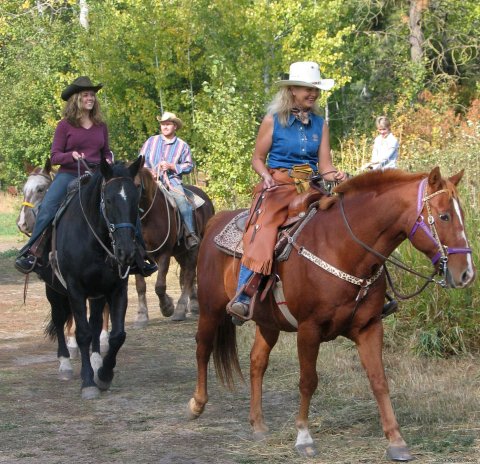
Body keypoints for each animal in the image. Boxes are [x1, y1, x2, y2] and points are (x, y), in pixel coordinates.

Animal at [35, 158, 142, 400]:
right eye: (109, 200)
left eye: (136, 200)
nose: (126, 252)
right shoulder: (75, 290)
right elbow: (82, 333)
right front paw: (88, 382)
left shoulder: (117, 289)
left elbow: (117, 335)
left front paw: (103, 374)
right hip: (54, 291)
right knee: (59, 320)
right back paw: (65, 364)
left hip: (97, 295)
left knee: (95, 323)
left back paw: (95, 360)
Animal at [132, 169, 213, 324]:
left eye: (137, 185)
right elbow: (140, 286)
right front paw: (141, 315)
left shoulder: (164, 253)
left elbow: (159, 286)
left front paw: (167, 307)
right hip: (180, 252)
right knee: (185, 274)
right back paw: (191, 306)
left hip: (195, 249)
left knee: (189, 275)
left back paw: (181, 310)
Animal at [187, 168, 472, 460]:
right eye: (444, 216)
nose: (466, 273)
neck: (343, 247)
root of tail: (216, 220)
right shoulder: (308, 329)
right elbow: (308, 381)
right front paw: (303, 436)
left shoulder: (369, 327)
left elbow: (379, 380)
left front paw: (396, 440)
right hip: (210, 309)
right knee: (203, 348)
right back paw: (197, 404)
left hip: (268, 323)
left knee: (257, 362)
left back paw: (258, 424)